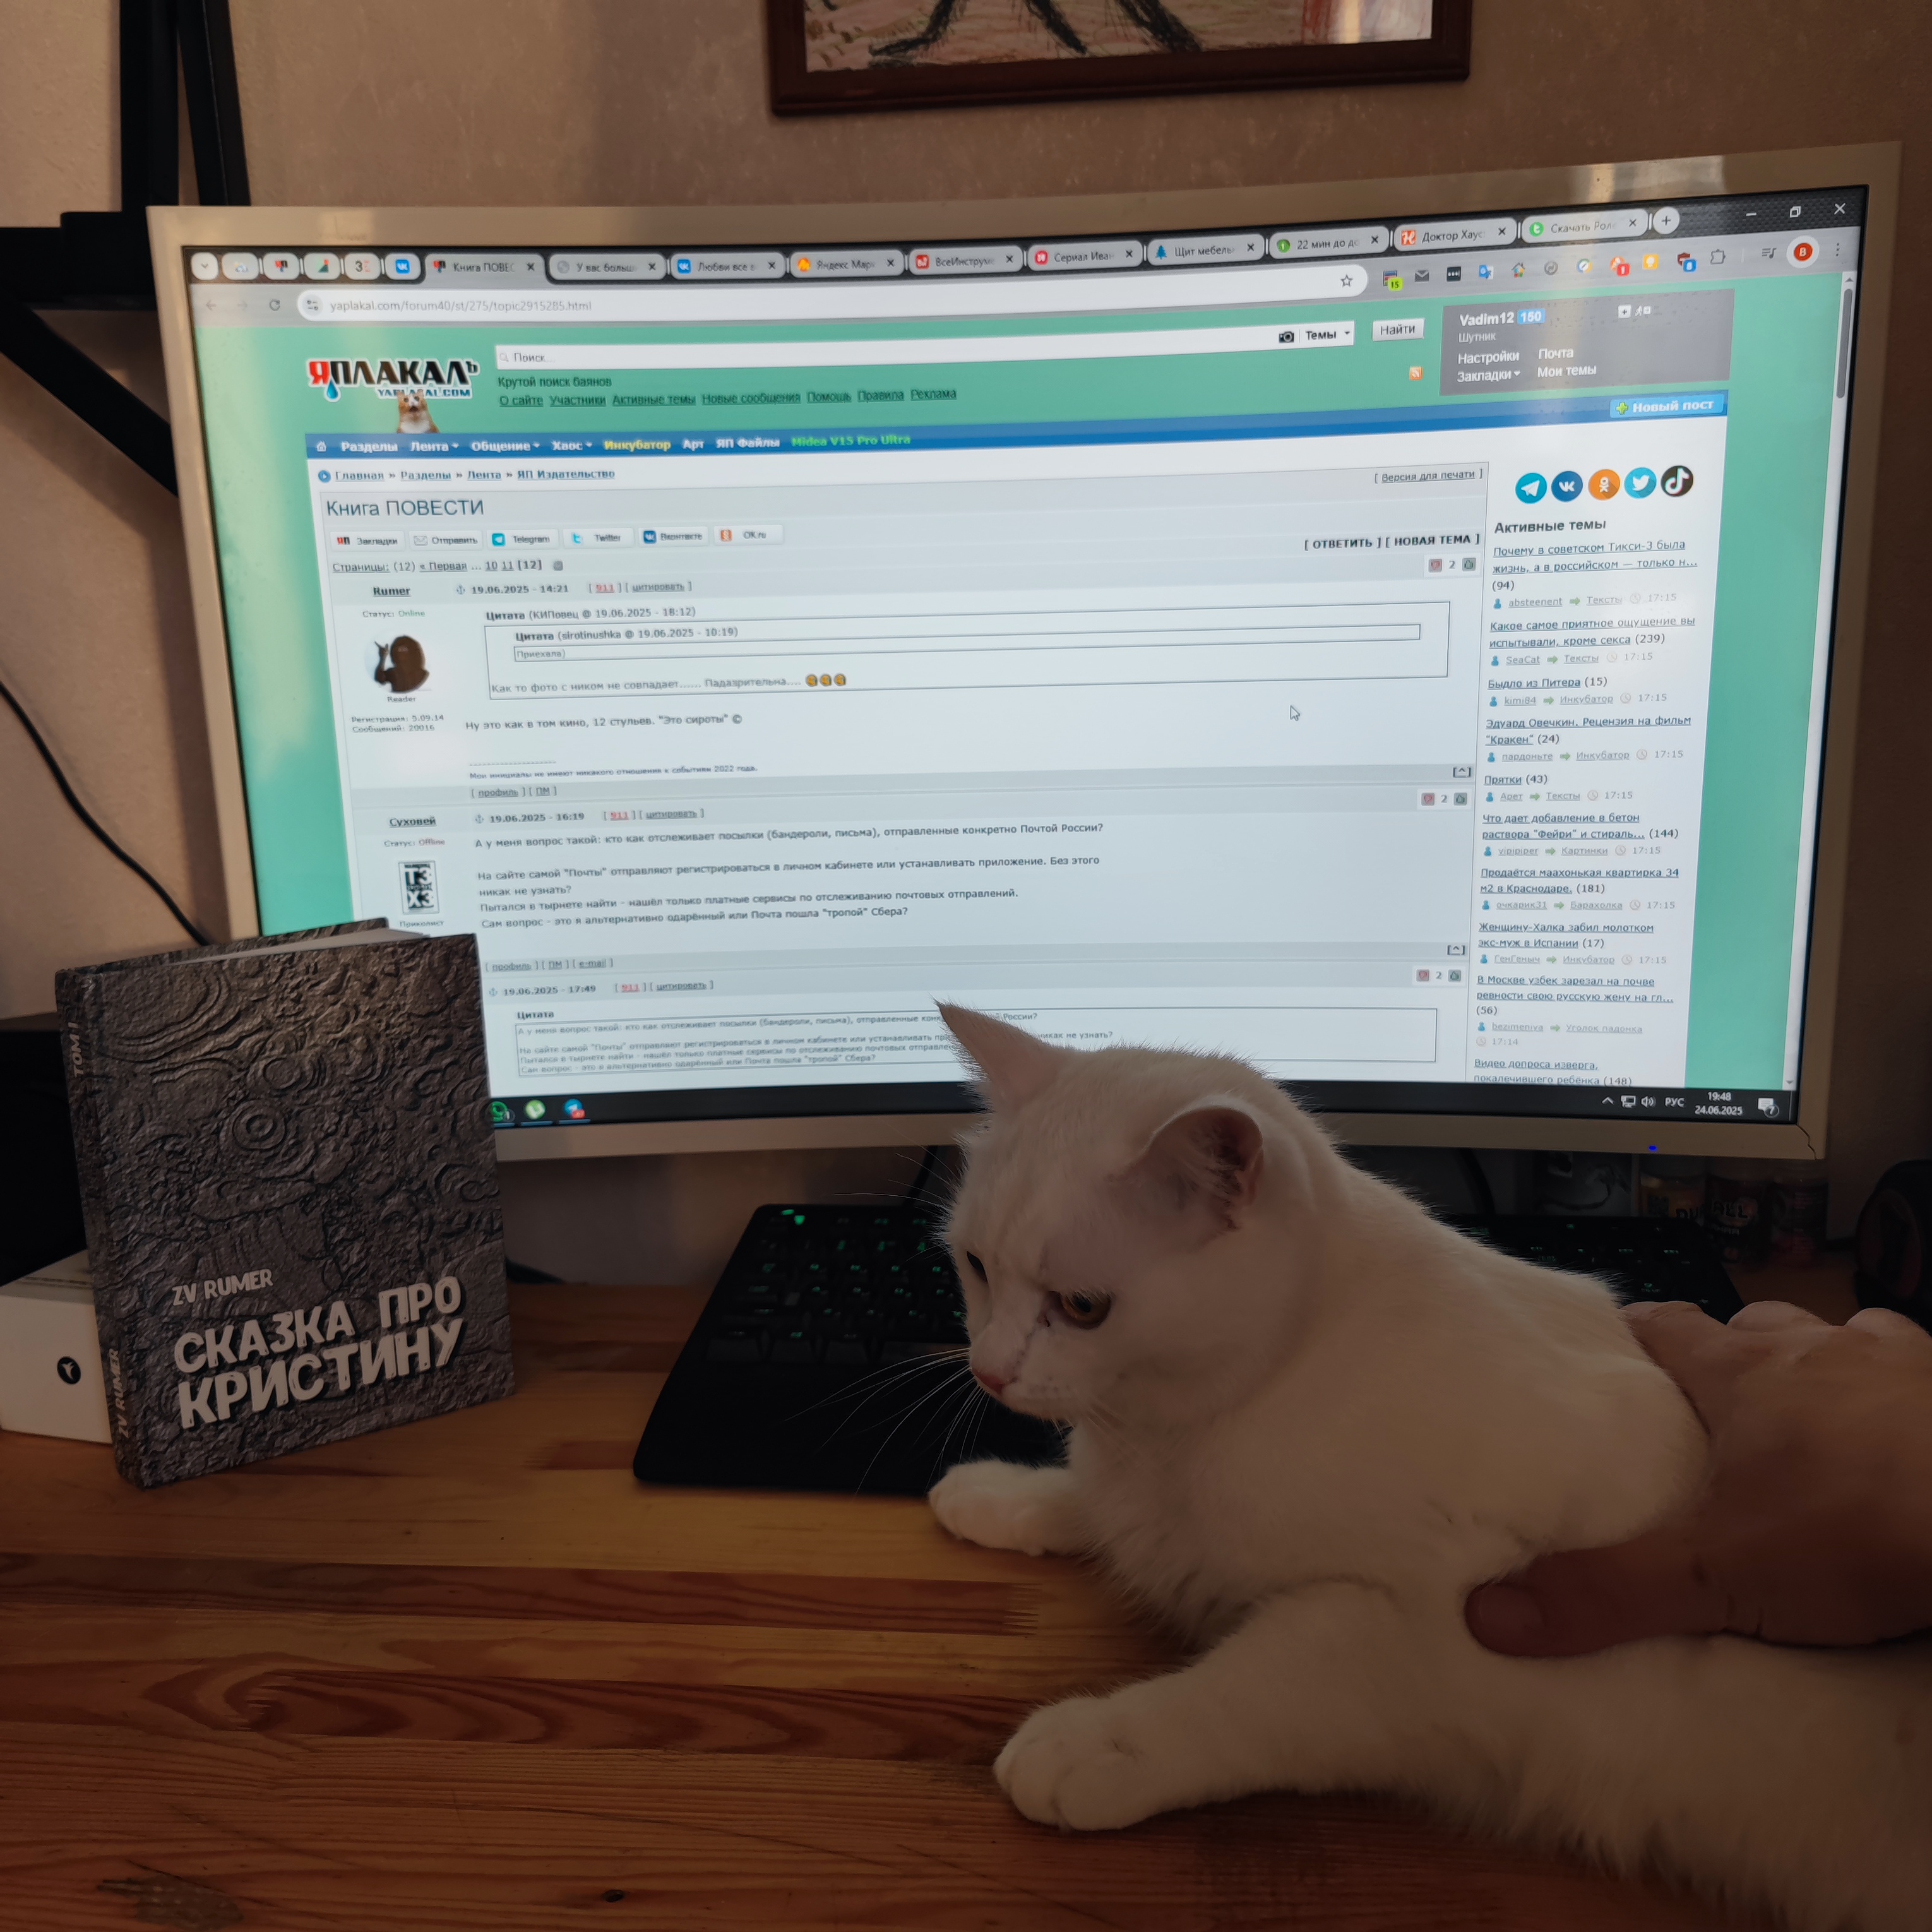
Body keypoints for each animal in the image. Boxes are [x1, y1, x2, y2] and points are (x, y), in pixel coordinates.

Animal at [927, 1004, 1932, 1932]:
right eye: (974, 1265)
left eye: (1082, 1307)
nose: (990, 1369)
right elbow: (1093, 1503)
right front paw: (1000, 1492)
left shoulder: (1418, 1647)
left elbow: (1236, 1696)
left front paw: (1095, 1744)